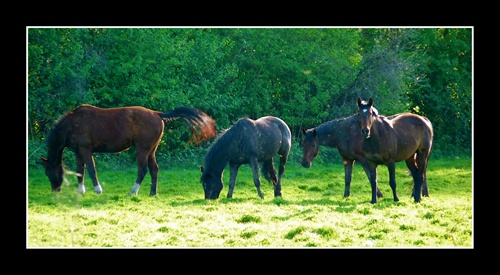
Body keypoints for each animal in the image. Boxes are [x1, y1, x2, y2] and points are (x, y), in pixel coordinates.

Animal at [40, 104, 216, 197]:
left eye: (49, 173)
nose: (55, 190)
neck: (72, 124)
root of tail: (158, 114)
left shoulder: (85, 150)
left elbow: (90, 169)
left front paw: (98, 189)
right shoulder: (78, 152)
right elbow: (80, 171)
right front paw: (80, 191)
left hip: (143, 150)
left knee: (143, 170)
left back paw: (133, 191)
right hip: (151, 150)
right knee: (154, 169)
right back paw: (153, 193)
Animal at [300, 96, 434, 203]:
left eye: (312, 145)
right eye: (302, 144)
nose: (305, 163)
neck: (345, 133)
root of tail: (425, 120)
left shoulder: (363, 159)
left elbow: (370, 177)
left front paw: (379, 195)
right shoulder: (348, 160)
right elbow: (348, 179)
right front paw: (346, 196)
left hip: (422, 154)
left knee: (421, 173)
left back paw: (421, 194)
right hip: (410, 156)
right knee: (418, 173)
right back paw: (417, 195)